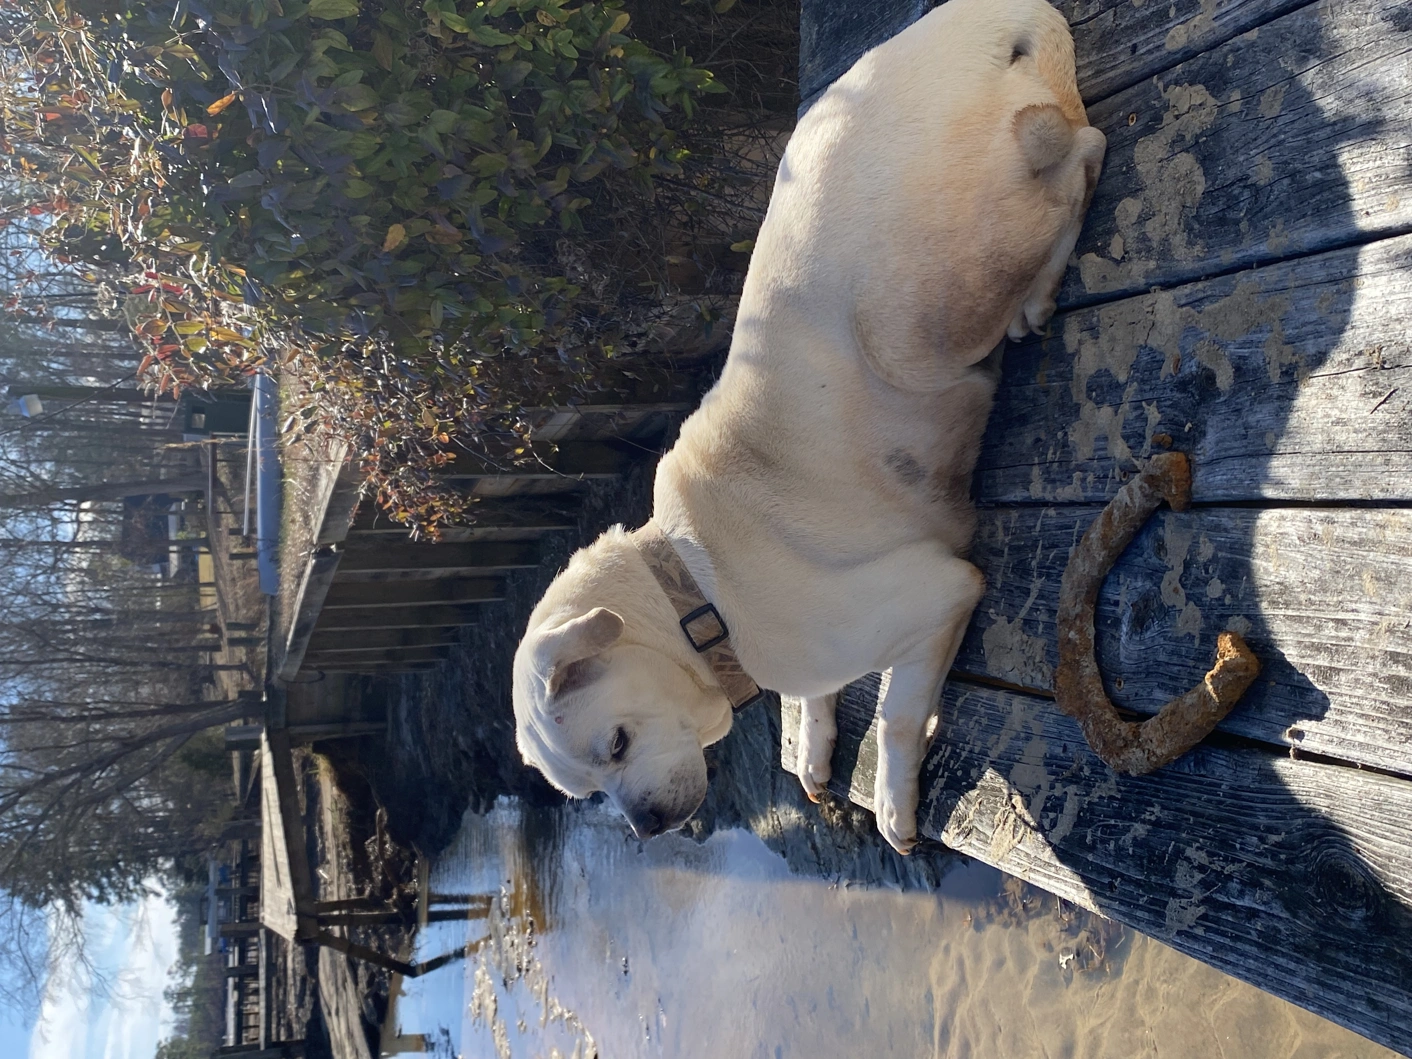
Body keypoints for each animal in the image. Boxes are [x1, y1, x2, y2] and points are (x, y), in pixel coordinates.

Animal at [511, 0, 1101, 852]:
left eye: (615, 744)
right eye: (589, 790)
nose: (646, 826)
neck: (692, 595)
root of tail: (992, 18)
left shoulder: (940, 594)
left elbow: (895, 716)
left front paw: (892, 801)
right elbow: (817, 704)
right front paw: (812, 746)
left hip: (923, 313)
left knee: (1086, 153)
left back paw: (1038, 291)